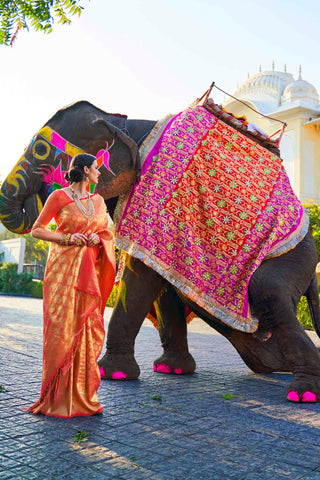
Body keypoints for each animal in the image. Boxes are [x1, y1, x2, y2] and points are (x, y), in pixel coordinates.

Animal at [2, 101, 320, 404]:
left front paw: (112, 374)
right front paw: (171, 369)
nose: (42, 195)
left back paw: (303, 393)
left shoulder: (154, 196)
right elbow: (161, 280)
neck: (122, 121)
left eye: (40, 152)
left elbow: (140, 273)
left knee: (268, 289)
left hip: (292, 257)